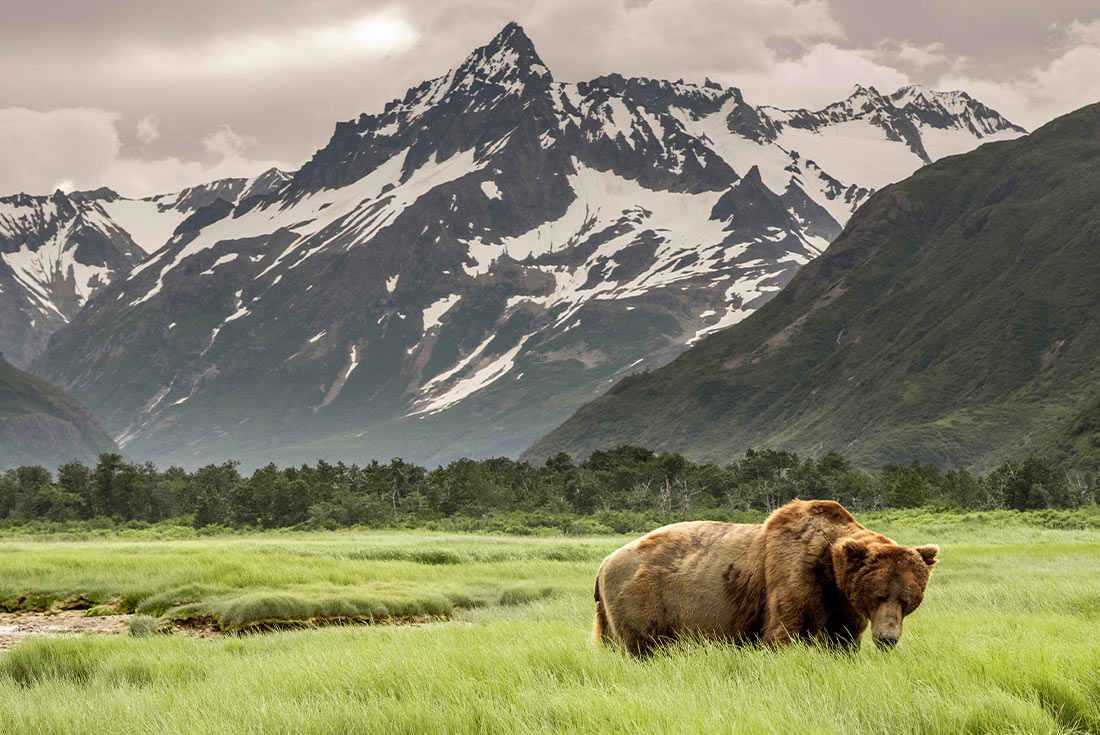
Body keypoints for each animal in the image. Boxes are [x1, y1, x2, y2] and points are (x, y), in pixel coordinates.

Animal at [594, 499, 937, 655]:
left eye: (906, 600)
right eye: (879, 595)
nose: (888, 639)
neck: (830, 571)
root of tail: (604, 562)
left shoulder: (842, 602)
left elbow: (842, 637)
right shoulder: (794, 573)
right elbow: (786, 631)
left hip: (610, 613)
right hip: (644, 596)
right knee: (644, 646)